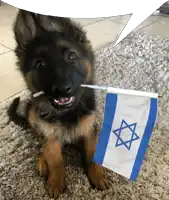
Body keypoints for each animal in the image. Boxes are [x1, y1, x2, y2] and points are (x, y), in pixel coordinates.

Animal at [9, 10, 109, 198]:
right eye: (40, 63)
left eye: (70, 56)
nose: (63, 89)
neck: (67, 113)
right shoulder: (49, 134)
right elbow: (54, 158)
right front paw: (56, 181)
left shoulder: (89, 128)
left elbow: (91, 153)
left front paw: (97, 175)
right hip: (33, 114)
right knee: (40, 141)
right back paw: (42, 160)